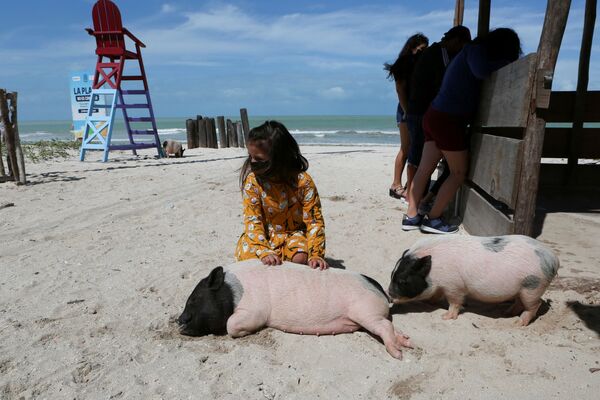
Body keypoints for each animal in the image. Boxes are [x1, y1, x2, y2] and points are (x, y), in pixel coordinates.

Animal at [179, 260, 412, 360]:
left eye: (194, 299)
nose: (179, 321)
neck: (232, 293)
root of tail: (379, 289)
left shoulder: (254, 311)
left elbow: (231, 325)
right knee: (391, 325)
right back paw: (408, 343)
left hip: (365, 311)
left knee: (385, 327)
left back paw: (398, 355)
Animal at [386, 234, 560, 324]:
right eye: (392, 274)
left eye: (402, 281)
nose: (389, 295)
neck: (434, 269)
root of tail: (553, 260)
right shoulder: (443, 285)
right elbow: (436, 295)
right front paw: (430, 303)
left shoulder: (454, 286)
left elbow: (455, 302)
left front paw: (445, 317)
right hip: (522, 288)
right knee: (519, 302)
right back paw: (507, 312)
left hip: (533, 287)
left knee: (535, 305)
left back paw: (518, 323)